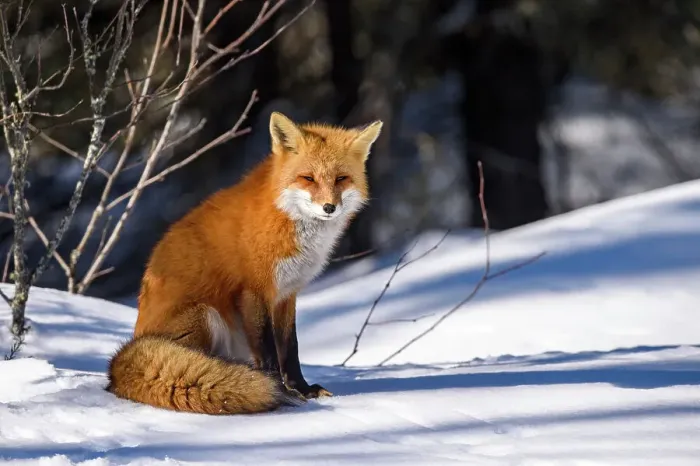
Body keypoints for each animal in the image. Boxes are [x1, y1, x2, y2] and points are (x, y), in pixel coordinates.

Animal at [106, 111, 383, 415]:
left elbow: (290, 349)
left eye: (341, 178)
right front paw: (279, 389)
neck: (285, 217)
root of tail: (117, 369)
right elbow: (268, 350)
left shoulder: (286, 294)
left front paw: (302, 389)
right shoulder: (254, 290)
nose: (329, 208)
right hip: (206, 315)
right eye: (308, 178)